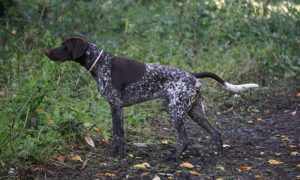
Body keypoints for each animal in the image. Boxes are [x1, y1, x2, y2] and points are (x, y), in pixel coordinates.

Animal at [44, 37, 258, 158]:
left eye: (64, 46)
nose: (46, 52)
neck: (101, 63)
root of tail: (192, 76)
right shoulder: (115, 108)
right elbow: (117, 134)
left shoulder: (116, 106)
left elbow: (119, 135)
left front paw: (118, 156)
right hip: (195, 112)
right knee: (216, 133)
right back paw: (219, 156)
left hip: (176, 111)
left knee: (185, 139)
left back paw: (174, 157)